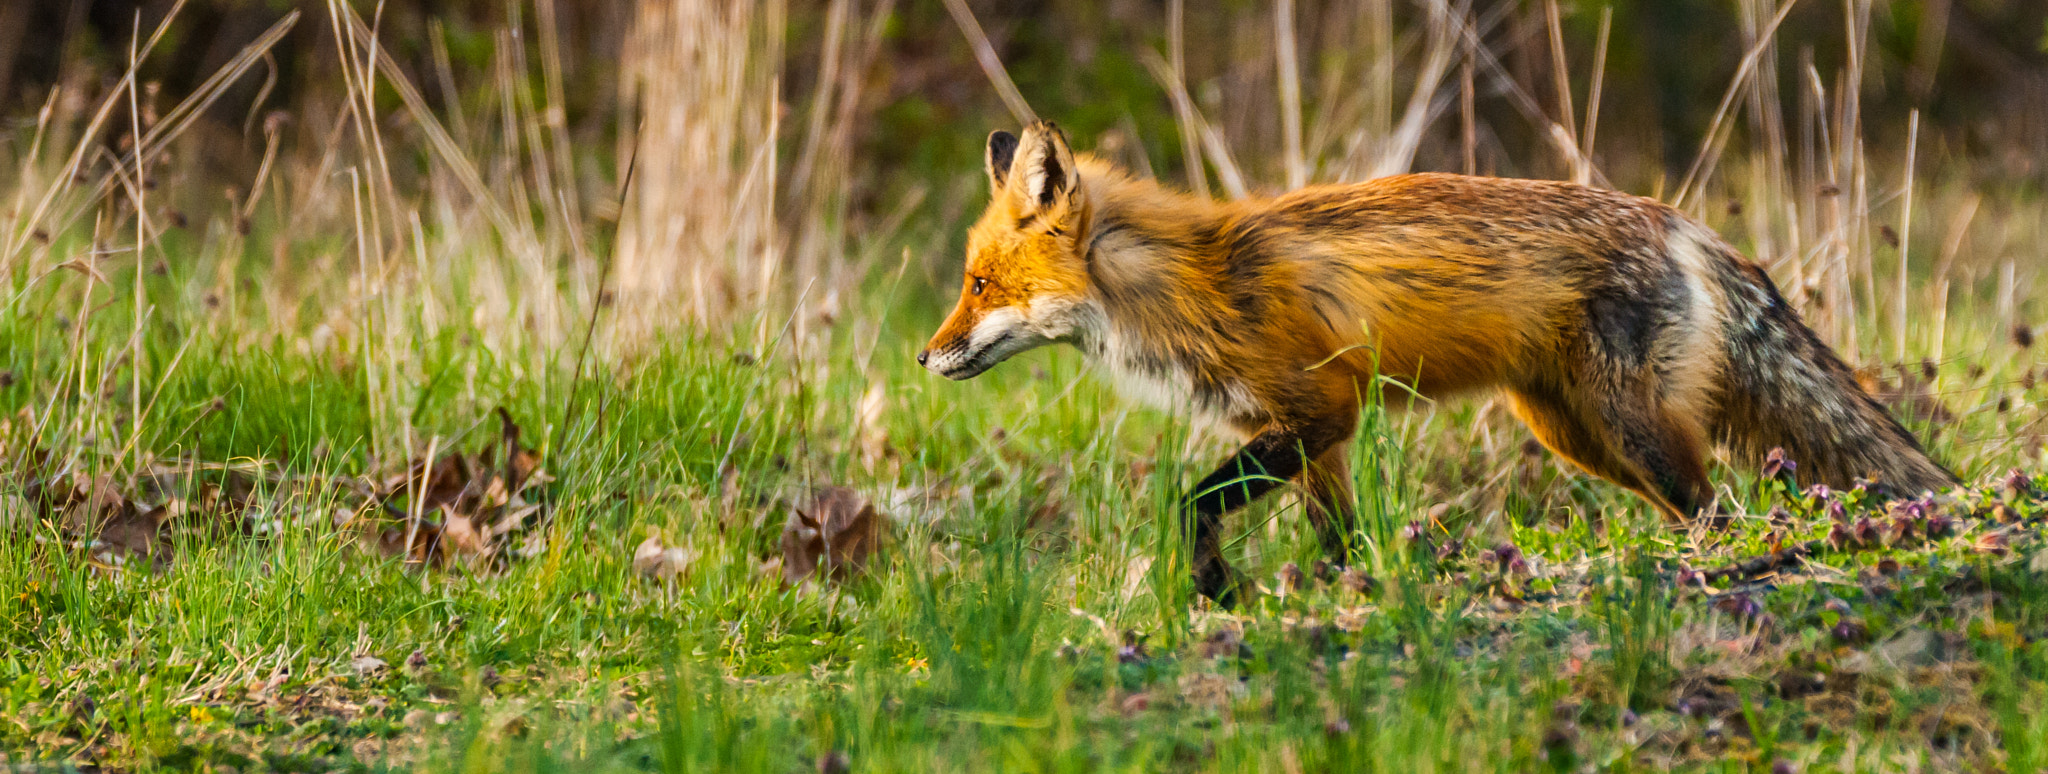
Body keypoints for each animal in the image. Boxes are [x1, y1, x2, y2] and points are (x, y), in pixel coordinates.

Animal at [917, 121, 1956, 607]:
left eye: (977, 283)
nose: (925, 356)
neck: (1193, 282)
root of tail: (1689, 226)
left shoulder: (1316, 413)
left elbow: (1189, 503)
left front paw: (1219, 588)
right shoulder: (1313, 437)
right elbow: (1336, 542)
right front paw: (1323, 600)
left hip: (1634, 432)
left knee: (1718, 510)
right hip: (1578, 435)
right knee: (1706, 504)